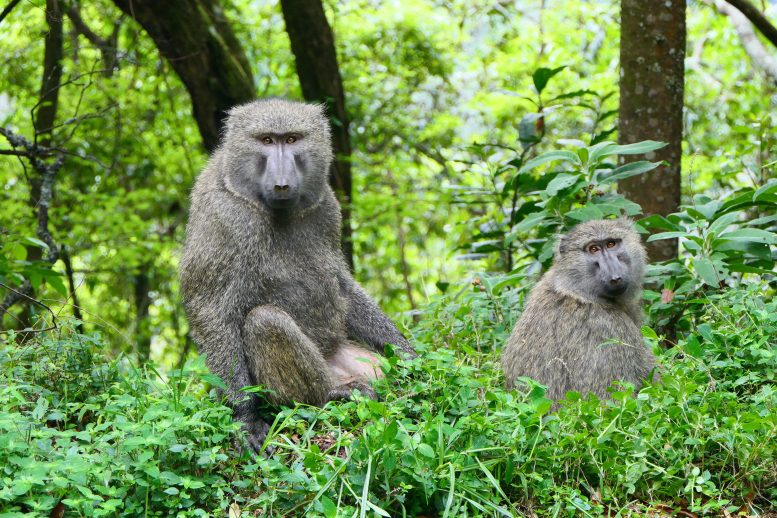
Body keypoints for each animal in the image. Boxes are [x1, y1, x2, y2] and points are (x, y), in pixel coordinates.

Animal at [179, 99, 415, 453]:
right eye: (266, 140)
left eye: (291, 139)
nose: (281, 183)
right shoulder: (223, 216)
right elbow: (210, 308)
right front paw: (245, 417)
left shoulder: (328, 208)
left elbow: (341, 285)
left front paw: (409, 355)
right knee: (264, 321)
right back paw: (331, 395)